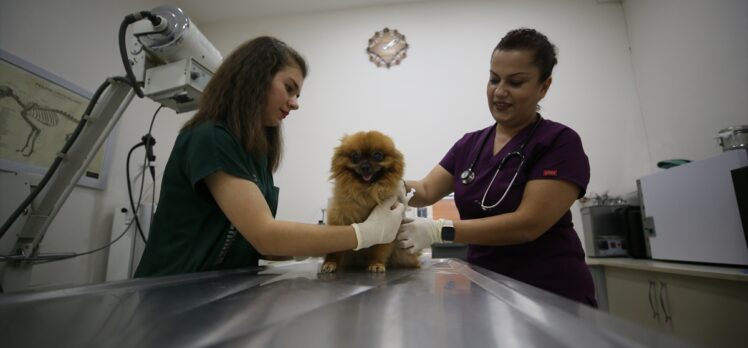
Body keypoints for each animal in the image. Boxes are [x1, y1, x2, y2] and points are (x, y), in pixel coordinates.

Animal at [322, 130, 420, 272]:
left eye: (378, 155)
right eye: (355, 156)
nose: (365, 167)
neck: (366, 191)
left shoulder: (388, 231)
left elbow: (380, 249)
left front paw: (377, 263)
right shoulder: (338, 218)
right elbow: (334, 248)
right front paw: (330, 262)